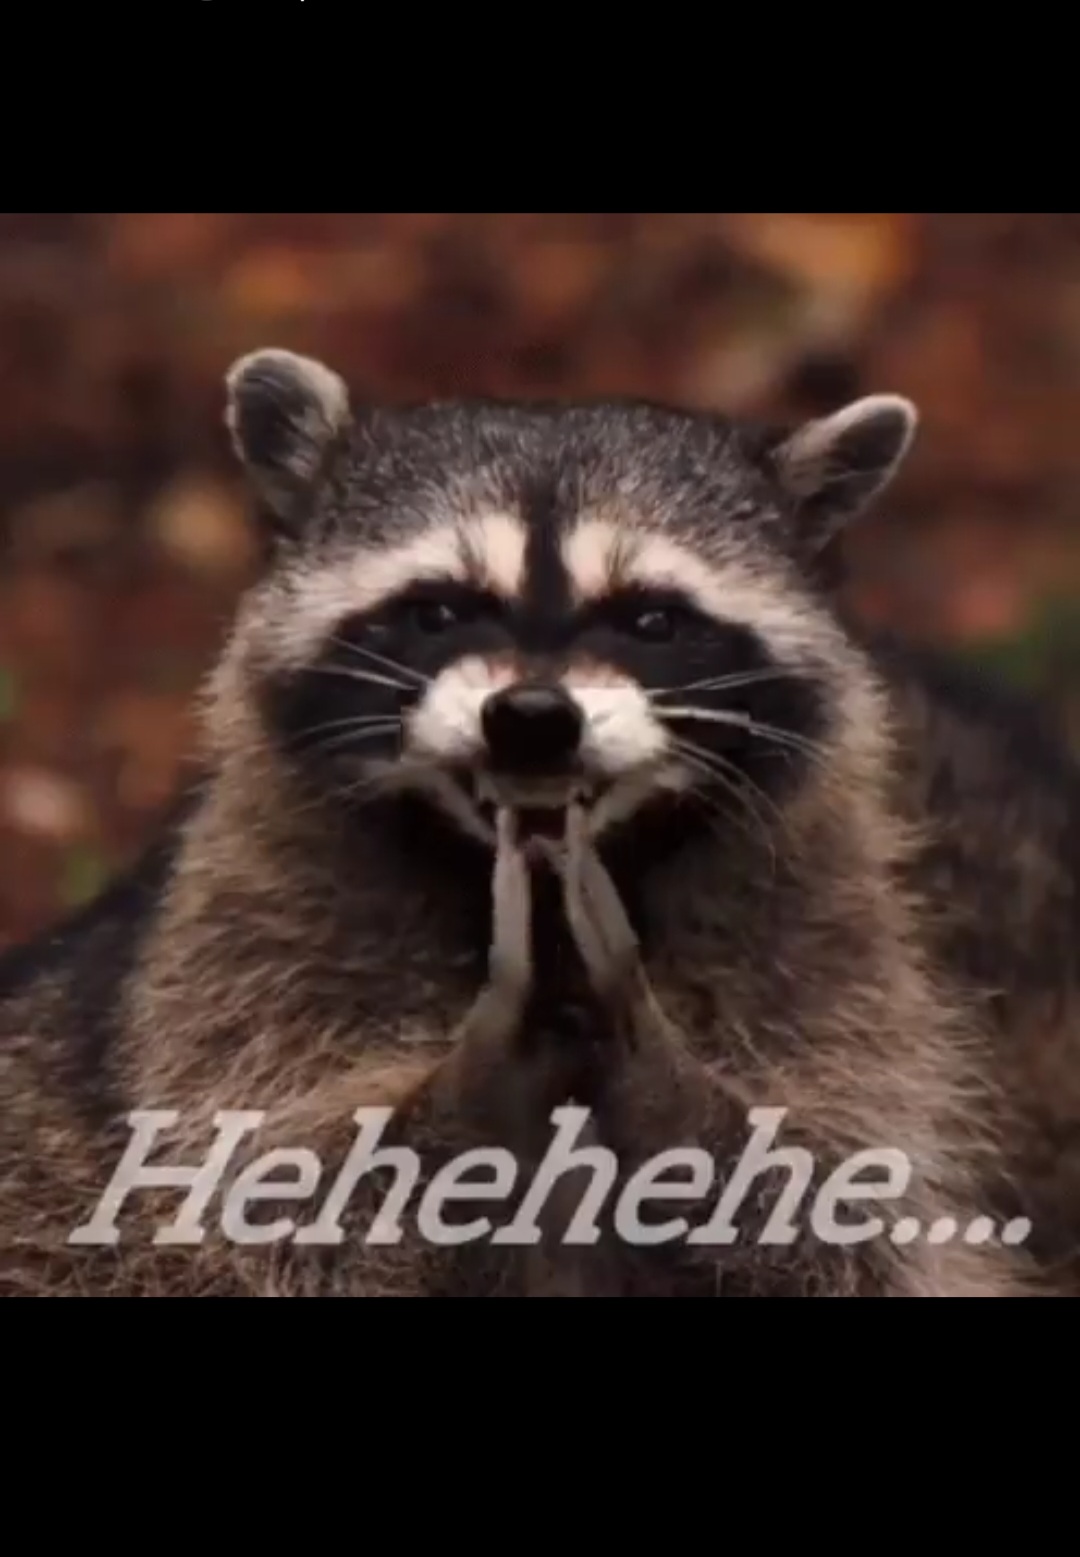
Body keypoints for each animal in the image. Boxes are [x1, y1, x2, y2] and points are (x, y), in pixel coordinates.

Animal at [0, 347, 1071, 1295]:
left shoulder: (829, 953)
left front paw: (664, 1080)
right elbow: (269, 1201)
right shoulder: (239, 954)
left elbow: (854, 1217)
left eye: (651, 620)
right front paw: (473, 1085)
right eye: (437, 611)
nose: (532, 716)